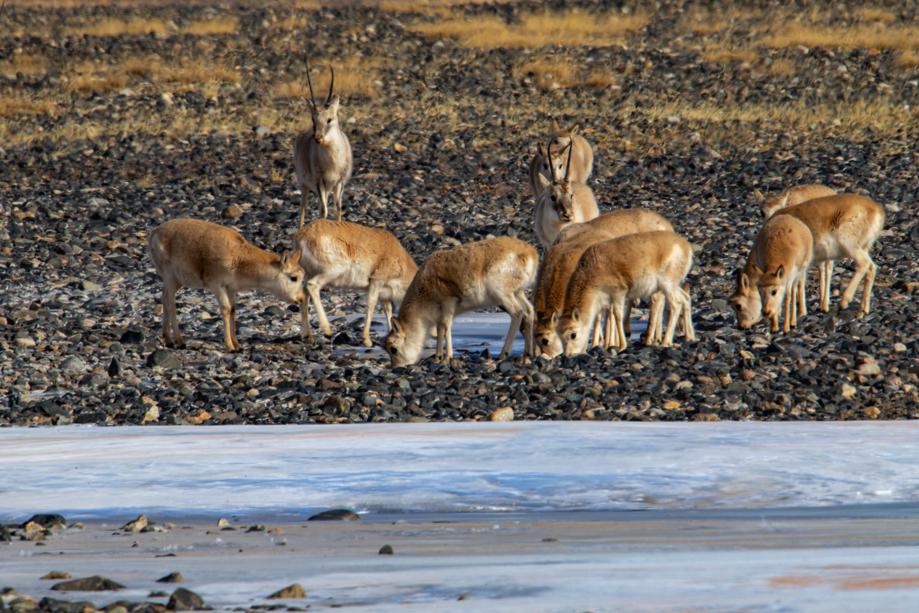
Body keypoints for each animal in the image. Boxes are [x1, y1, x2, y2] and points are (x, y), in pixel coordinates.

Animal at [148, 218, 306, 352]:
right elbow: (225, 309)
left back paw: (168, 339)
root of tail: (155, 233)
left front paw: (237, 344)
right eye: (294, 278)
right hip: (170, 277)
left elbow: (233, 310)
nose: (301, 299)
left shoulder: (231, 288)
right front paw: (229, 346)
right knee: (171, 302)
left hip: (177, 281)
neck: (239, 257)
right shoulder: (217, 285)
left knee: (164, 297)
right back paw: (179, 341)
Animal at [292, 55, 354, 226]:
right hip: (305, 185)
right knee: (303, 207)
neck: (333, 159)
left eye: (329, 119)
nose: (317, 138)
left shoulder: (339, 182)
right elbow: (323, 211)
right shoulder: (320, 182)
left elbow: (338, 208)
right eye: (313, 119)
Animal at [382, 237, 540, 366]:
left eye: (393, 349)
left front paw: (447, 357)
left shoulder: (448, 303)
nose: (396, 367)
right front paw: (437, 357)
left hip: (502, 294)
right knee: (529, 311)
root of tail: (530, 253)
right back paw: (526, 355)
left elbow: (446, 326)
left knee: (517, 312)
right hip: (518, 292)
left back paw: (502, 354)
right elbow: (440, 329)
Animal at [532, 208, 676, 356]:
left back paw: (647, 338)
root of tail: (667, 226)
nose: (543, 357)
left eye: (545, 340)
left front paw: (600, 343)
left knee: (656, 300)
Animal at [556, 230, 692, 354]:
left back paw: (665, 342)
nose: (568, 355)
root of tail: (686, 247)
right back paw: (689, 337)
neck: (592, 269)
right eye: (559, 335)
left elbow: (617, 316)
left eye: (573, 334)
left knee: (676, 303)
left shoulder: (618, 294)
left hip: (667, 285)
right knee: (685, 297)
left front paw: (622, 346)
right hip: (672, 286)